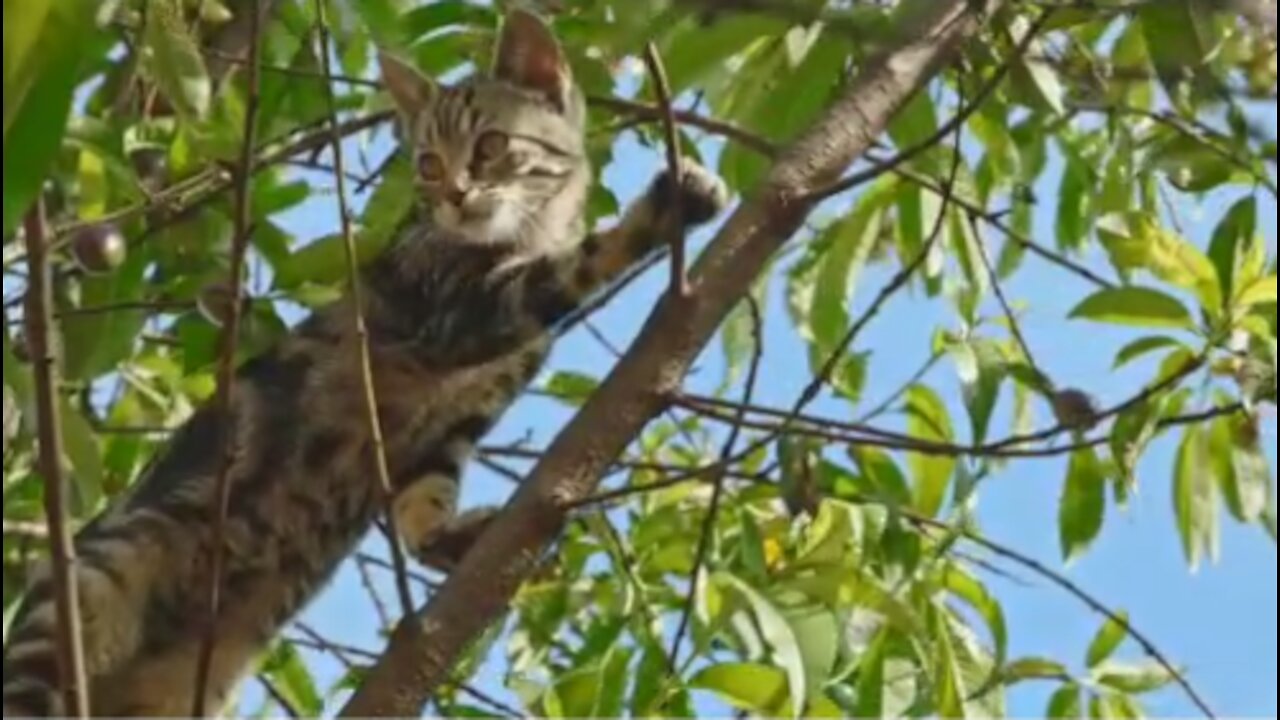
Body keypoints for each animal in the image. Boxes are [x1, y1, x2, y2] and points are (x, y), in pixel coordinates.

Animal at [2, 8, 732, 712]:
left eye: (491, 147)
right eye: (429, 164)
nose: (455, 195)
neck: (522, 236)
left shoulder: (461, 414)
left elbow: (426, 492)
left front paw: (444, 536)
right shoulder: (461, 311)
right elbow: (577, 264)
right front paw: (662, 209)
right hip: (86, 591)